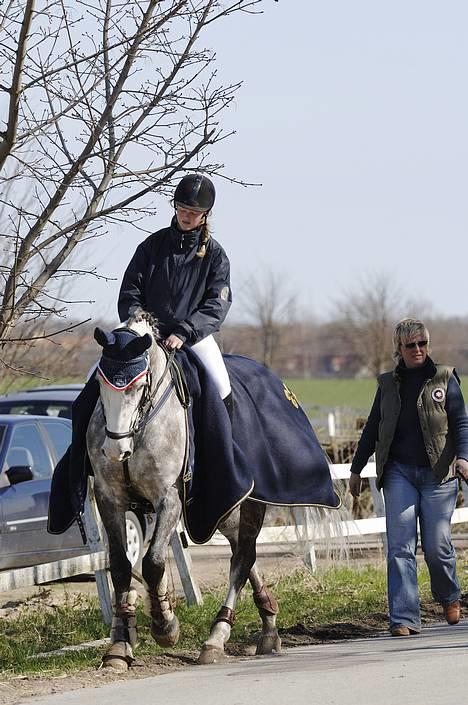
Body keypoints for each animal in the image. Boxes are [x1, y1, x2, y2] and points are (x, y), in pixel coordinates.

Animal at [86, 310, 280, 668]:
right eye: (100, 386)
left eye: (138, 387)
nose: (115, 450)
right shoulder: (109, 499)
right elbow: (121, 565)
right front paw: (120, 644)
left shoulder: (170, 499)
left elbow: (153, 563)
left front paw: (165, 625)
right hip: (225, 512)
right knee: (242, 552)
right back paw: (268, 625)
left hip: (245, 503)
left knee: (243, 557)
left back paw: (217, 636)